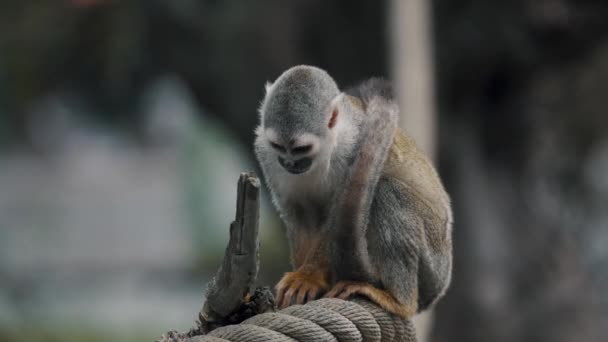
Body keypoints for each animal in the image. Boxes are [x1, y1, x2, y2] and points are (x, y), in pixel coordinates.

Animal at [253, 65, 452, 318]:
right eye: (278, 146)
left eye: (301, 149)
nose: (289, 163)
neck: (328, 145)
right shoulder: (265, 152)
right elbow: (298, 214)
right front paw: (300, 280)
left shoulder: (353, 147)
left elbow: (335, 218)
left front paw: (309, 276)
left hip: (433, 264)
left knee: (386, 192)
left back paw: (399, 300)